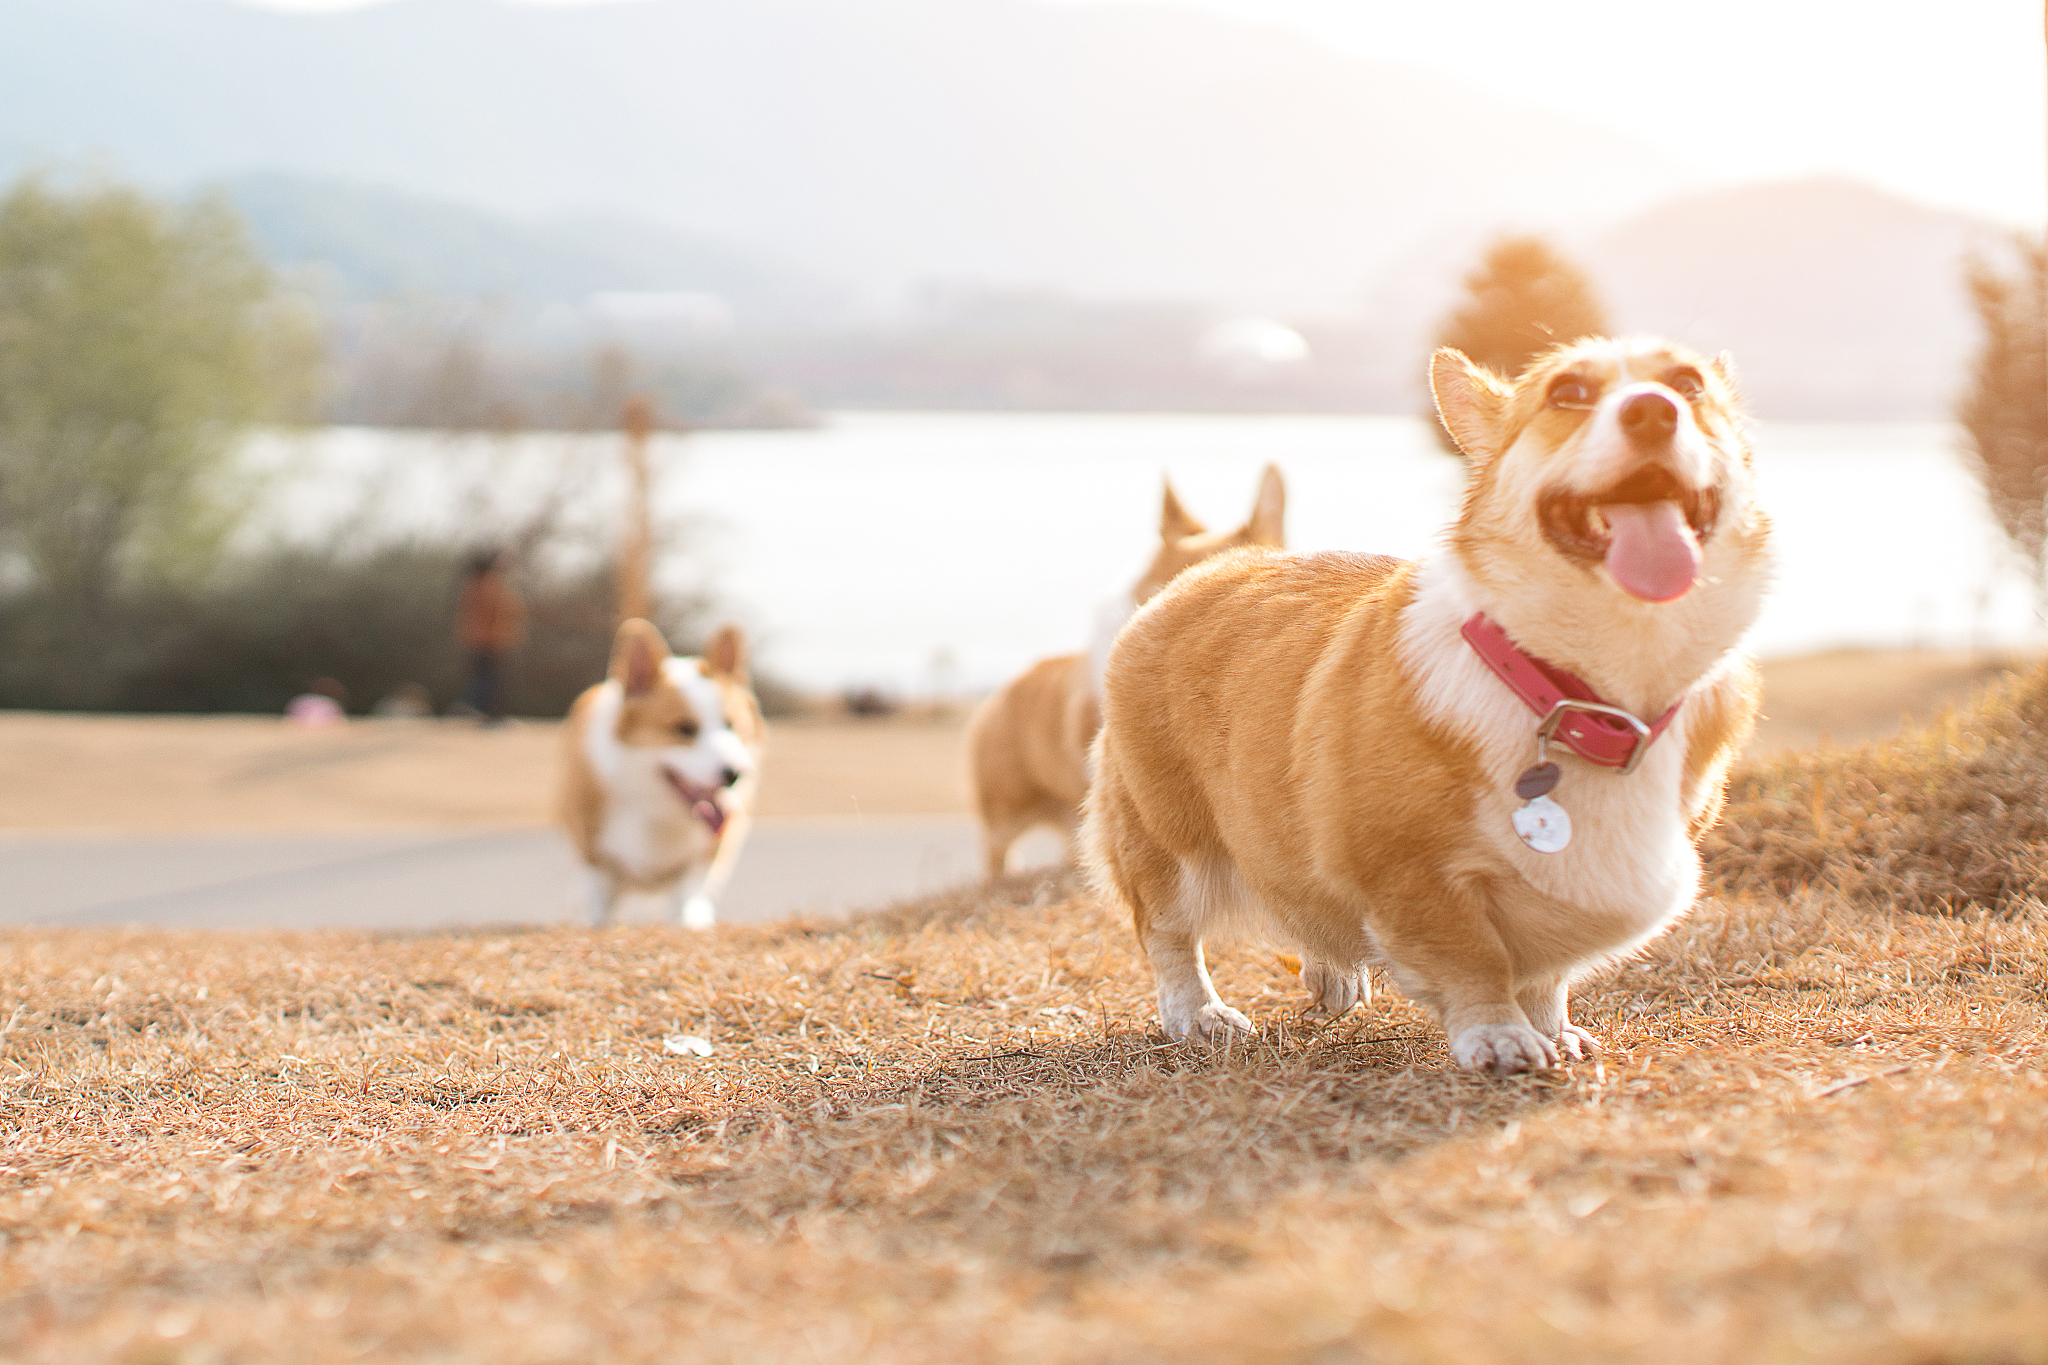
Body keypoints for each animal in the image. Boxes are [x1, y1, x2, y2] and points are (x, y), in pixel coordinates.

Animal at [557, 618, 765, 929]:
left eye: (731, 726)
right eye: (684, 729)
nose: (735, 774)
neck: (658, 810)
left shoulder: (703, 857)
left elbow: (690, 893)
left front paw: (693, 921)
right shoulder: (593, 854)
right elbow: (596, 898)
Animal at [1081, 335, 1769, 1072]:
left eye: (1688, 384)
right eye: (1567, 394)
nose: (1653, 411)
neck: (1586, 695)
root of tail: (1205, 570)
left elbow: (1548, 976)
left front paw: (1553, 1029)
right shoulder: (1414, 873)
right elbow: (1472, 957)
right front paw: (1498, 1036)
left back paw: (1333, 973)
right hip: (1165, 835)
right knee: (1168, 929)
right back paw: (1200, 1014)